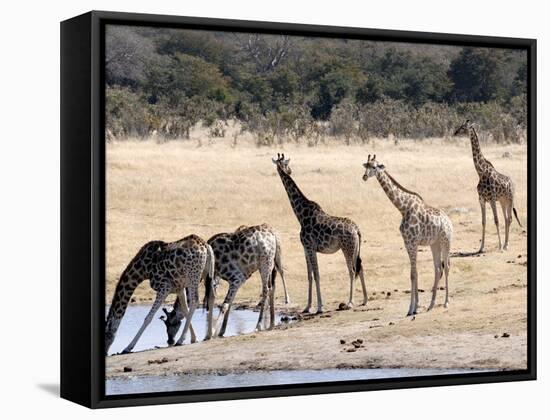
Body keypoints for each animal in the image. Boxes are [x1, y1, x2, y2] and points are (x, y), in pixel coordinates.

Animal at [162, 223, 292, 342]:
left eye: (170, 323)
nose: (169, 340)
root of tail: (273, 234)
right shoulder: (225, 279)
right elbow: (226, 303)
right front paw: (220, 331)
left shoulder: (237, 278)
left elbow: (224, 305)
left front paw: (213, 332)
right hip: (270, 262)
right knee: (272, 287)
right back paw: (272, 323)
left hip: (265, 262)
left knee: (266, 290)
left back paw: (259, 325)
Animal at [274, 153, 368, 314]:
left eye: (286, 163)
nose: (289, 170)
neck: (300, 215)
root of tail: (357, 229)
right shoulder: (306, 249)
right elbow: (309, 276)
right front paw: (307, 307)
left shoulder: (310, 247)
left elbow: (317, 275)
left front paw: (319, 307)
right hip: (356, 248)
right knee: (360, 267)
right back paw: (365, 300)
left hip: (347, 248)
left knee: (352, 270)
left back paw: (350, 302)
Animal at [362, 154, 452, 316]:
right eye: (366, 165)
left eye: (374, 166)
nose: (364, 176)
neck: (402, 208)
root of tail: (449, 222)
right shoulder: (407, 243)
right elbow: (414, 273)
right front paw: (415, 306)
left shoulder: (413, 242)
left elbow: (413, 274)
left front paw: (411, 308)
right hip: (434, 244)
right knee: (438, 268)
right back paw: (431, 304)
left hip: (446, 241)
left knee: (446, 266)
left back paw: (446, 302)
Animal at [454, 120, 524, 251]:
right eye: (460, 126)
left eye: (463, 127)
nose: (455, 133)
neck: (481, 172)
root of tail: (513, 183)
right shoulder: (481, 199)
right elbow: (484, 221)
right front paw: (481, 247)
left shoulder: (491, 199)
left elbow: (496, 220)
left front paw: (500, 246)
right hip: (502, 201)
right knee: (506, 219)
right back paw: (506, 244)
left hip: (510, 199)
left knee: (510, 218)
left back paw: (506, 245)